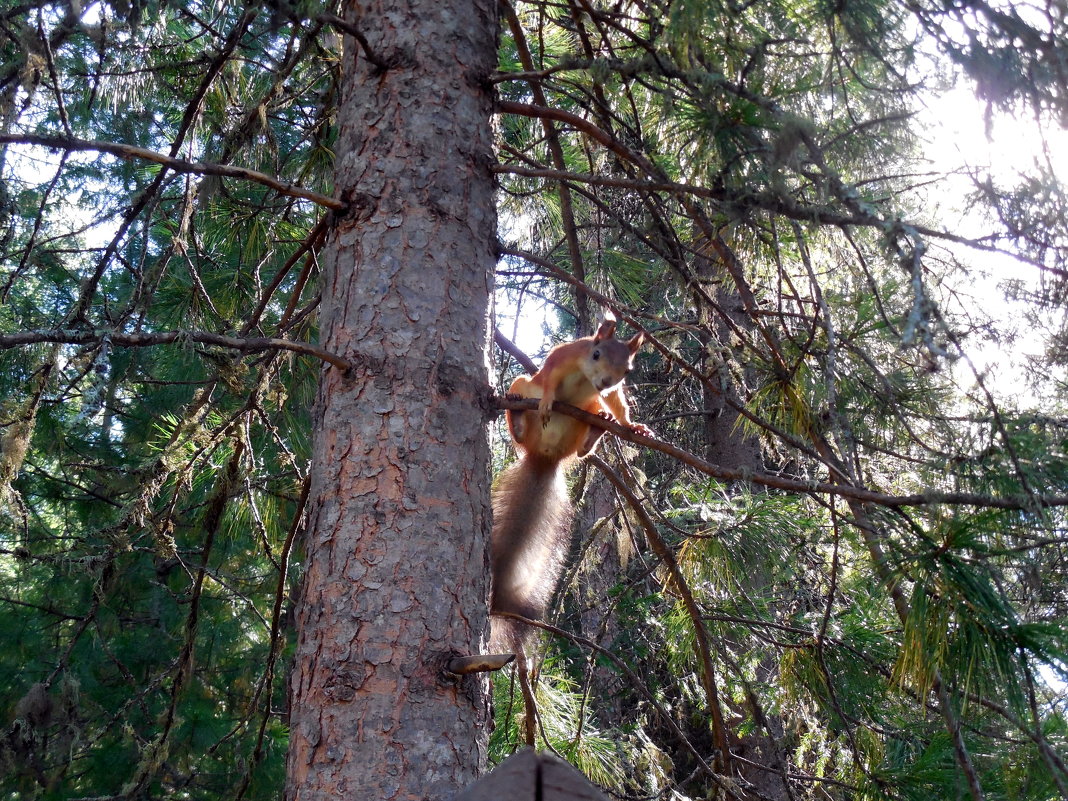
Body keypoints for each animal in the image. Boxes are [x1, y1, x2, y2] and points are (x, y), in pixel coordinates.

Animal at [491, 313, 649, 653]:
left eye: (628, 369)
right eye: (596, 353)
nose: (605, 382)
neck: (585, 377)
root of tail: (545, 456)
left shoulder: (610, 393)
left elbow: (618, 403)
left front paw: (631, 425)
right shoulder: (562, 357)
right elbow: (550, 377)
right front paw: (550, 399)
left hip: (586, 415)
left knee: (583, 448)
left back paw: (598, 430)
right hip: (523, 390)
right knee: (520, 415)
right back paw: (516, 411)